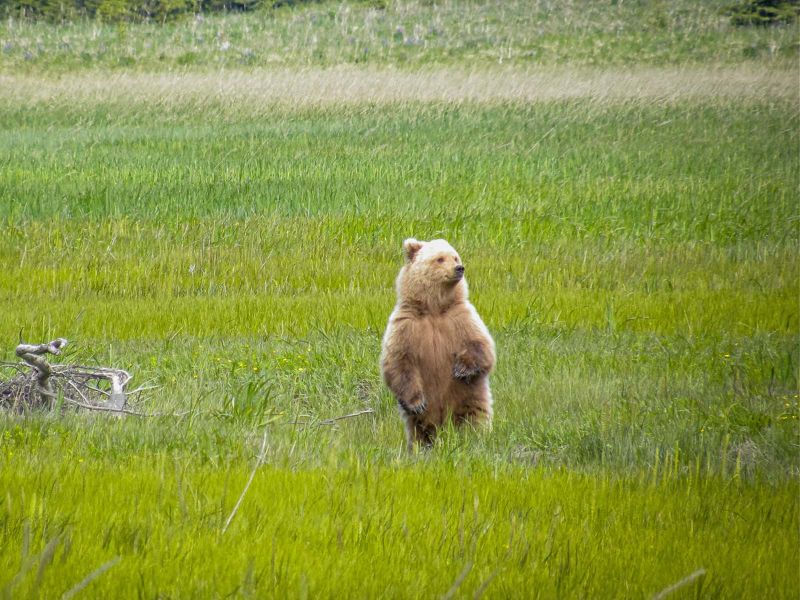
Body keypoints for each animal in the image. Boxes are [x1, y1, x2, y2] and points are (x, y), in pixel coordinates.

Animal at [380, 239, 494, 450]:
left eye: (455, 256)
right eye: (440, 258)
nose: (459, 268)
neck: (434, 308)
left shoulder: (460, 317)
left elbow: (480, 345)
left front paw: (461, 369)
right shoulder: (406, 325)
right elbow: (399, 362)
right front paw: (416, 402)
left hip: (470, 399)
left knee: (474, 420)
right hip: (420, 420)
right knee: (420, 430)